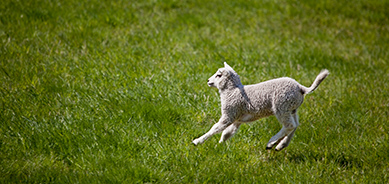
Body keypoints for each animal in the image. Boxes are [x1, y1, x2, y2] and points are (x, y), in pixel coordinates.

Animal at [191, 62, 328, 150]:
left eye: (218, 75)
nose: (208, 81)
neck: (232, 90)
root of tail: (301, 88)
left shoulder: (230, 113)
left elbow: (216, 127)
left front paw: (197, 141)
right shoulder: (237, 119)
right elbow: (227, 133)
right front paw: (219, 144)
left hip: (281, 106)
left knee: (289, 125)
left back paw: (271, 143)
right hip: (292, 108)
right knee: (295, 125)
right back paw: (280, 145)